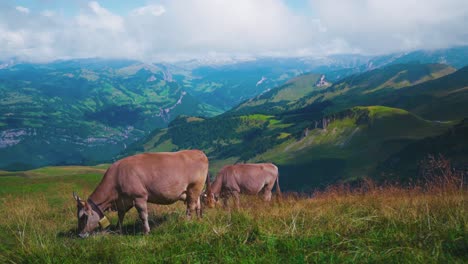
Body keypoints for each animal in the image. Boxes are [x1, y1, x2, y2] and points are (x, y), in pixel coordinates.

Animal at [72, 150, 207, 238]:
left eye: (83, 216)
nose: (80, 235)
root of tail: (198, 152)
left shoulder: (139, 197)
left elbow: (143, 215)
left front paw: (146, 232)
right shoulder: (122, 201)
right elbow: (121, 215)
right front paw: (118, 230)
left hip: (194, 187)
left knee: (190, 207)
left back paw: (187, 222)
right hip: (194, 190)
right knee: (198, 204)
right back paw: (199, 220)